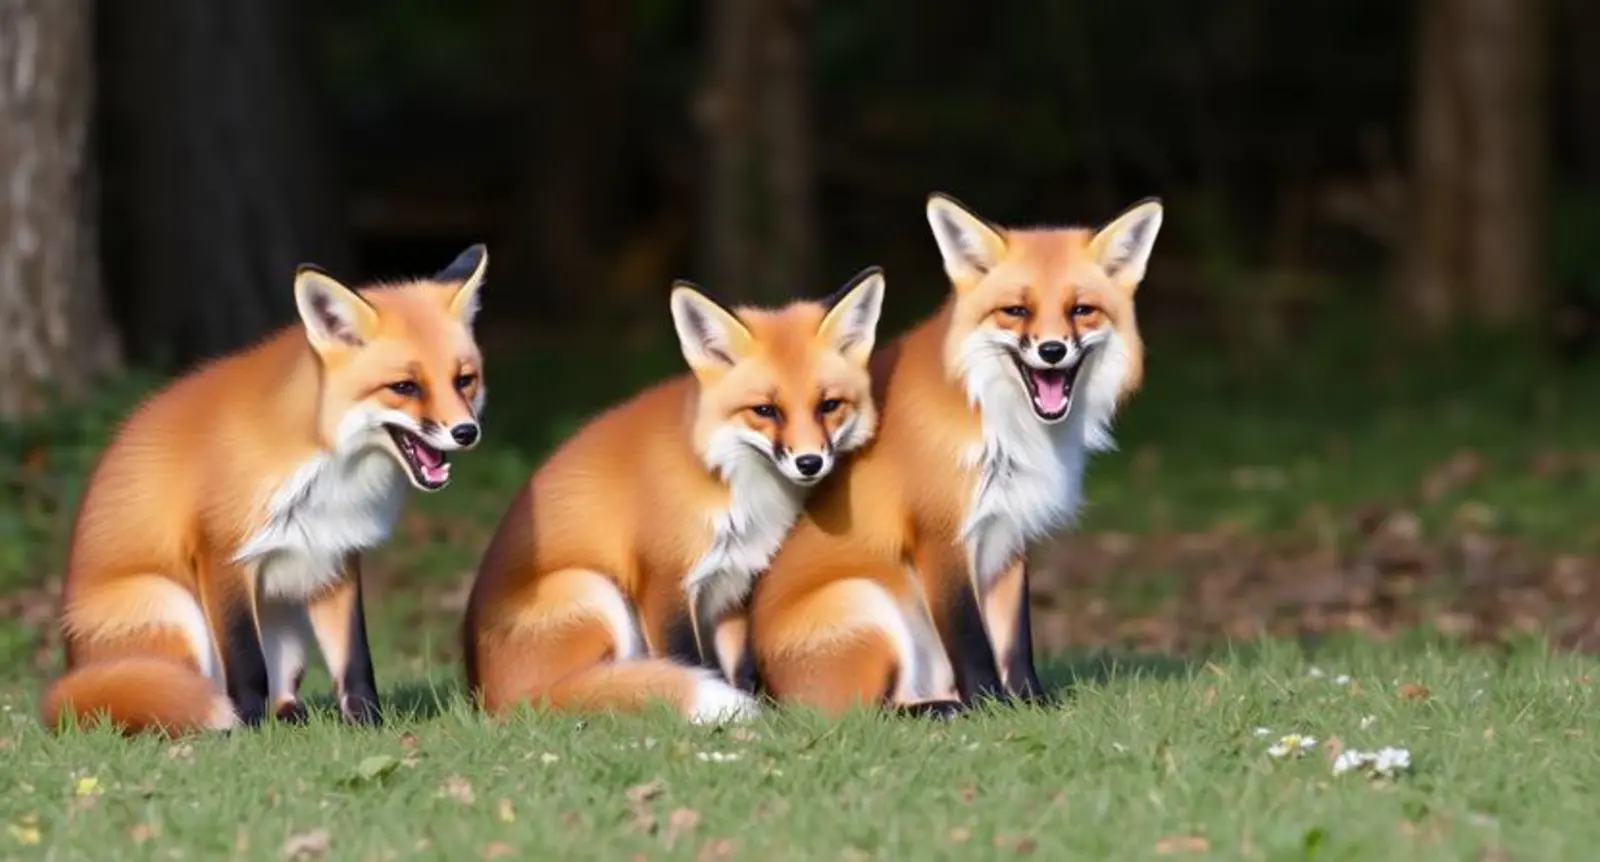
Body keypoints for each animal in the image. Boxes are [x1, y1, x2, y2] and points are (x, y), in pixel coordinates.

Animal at [40, 245, 492, 736]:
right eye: (404, 387)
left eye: (464, 380)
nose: (466, 432)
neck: (328, 467)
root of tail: (74, 670)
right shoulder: (223, 555)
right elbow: (246, 663)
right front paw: (250, 732)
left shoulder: (335, 558)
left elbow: (354, 662)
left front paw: (369, 725)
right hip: (172, 605)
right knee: (172, 701)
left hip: (286, 624)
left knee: (283, 692)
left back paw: (293, 719)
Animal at [463, 268, 886, 723]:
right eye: (765, 410)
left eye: (829, 405)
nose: (810, 462)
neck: (727, 479)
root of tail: (490, 700)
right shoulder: (664, 582)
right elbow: (689, 661)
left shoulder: (731, 583)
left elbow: (737, 667)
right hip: (593, 590)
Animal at [748, 194, 1163, 717]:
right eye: (1016, 311)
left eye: (1081, 310)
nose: (1052, 350)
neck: (1004, 426)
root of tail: (766, 691)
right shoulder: (942, 537)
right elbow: (971, 638)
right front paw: (989, 705)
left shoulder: (1009, 534)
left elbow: (1016, 641)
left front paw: (1030, 703)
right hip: (870, 599)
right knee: (861, 714)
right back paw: (945, 709)